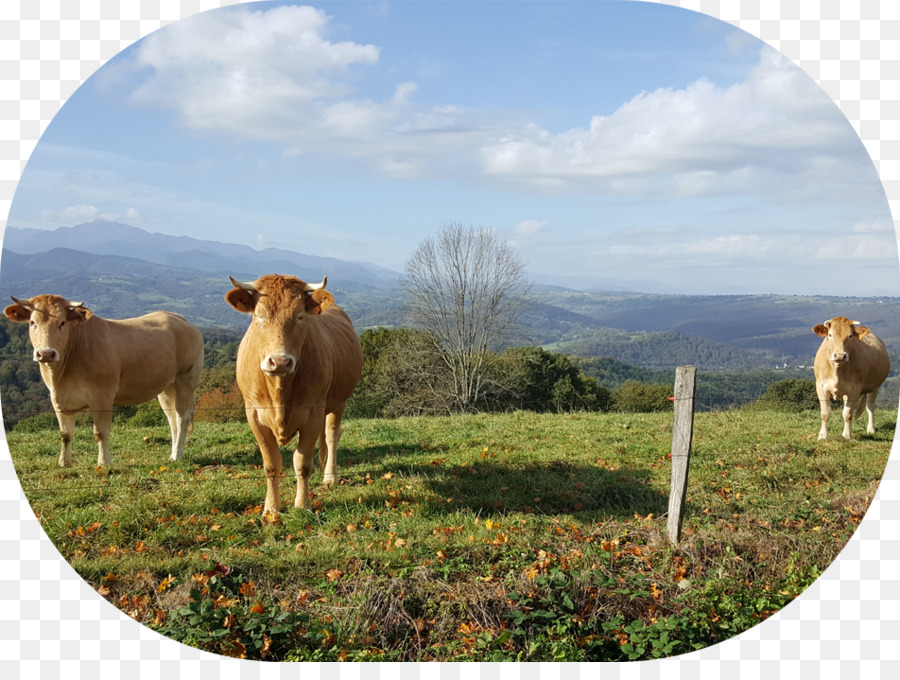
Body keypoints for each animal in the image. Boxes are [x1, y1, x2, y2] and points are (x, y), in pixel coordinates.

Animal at [3, 294, 204, 464]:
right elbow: (65, 434)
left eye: (62, 323)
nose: (46, 353)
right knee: (171, 418)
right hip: (166, 386)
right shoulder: (58, 399)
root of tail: (178, 318)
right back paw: (173, 453)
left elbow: (100, 432)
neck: (61, 376)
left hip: (186, 379)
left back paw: (177, 455)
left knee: (182, 417)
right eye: (32, 322)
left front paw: (104, 462)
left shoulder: (102, 396)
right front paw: (64, 463)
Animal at [225, 274, 362, 512]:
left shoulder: (312, 412)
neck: (279, 389)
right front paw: (271, 508)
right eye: (259, 315)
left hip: (338, 402)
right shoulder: (254, 415)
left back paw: (330, 475)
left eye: (299, 317)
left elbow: (302, 462)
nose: (280, 361)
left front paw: (302, 505)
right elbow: (271, 463)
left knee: (331, 435)